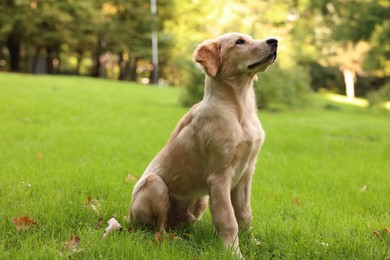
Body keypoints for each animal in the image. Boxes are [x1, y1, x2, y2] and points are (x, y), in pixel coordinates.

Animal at [131, 32, 278, 256]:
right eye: (239, 42)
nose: (275, 41)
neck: (240, 111)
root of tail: (127, 218)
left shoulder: (246, 172)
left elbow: (245, 214)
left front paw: (253, 243)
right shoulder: (219, 176)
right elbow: (228, 219)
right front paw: (233, 253)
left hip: (202, 198)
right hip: (155, 184)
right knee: (159, 228)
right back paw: (174, 241)